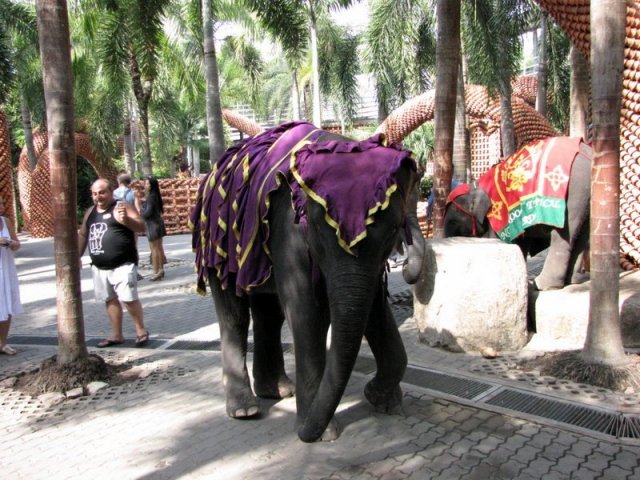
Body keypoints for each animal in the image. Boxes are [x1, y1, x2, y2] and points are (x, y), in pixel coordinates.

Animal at [188, 121, 422, 442]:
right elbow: (307, 314)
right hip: (216, 247)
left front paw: (383, 401)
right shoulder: (288, 231)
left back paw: (277, 391)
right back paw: (245, 410)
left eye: (393, 231)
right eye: (318, 230)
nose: (305, 434)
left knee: (268, 314)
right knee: (234, 316)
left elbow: (374, 310)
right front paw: (323, 433)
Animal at [444, 137, 592, 290]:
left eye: (453, 220)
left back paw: (543, 285)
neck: (476, 184)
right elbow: (522, 243)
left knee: (563, 234)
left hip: (572, 190)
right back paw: (573, 281)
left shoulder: (498, 211)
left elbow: (500, 239)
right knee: (582, 234)